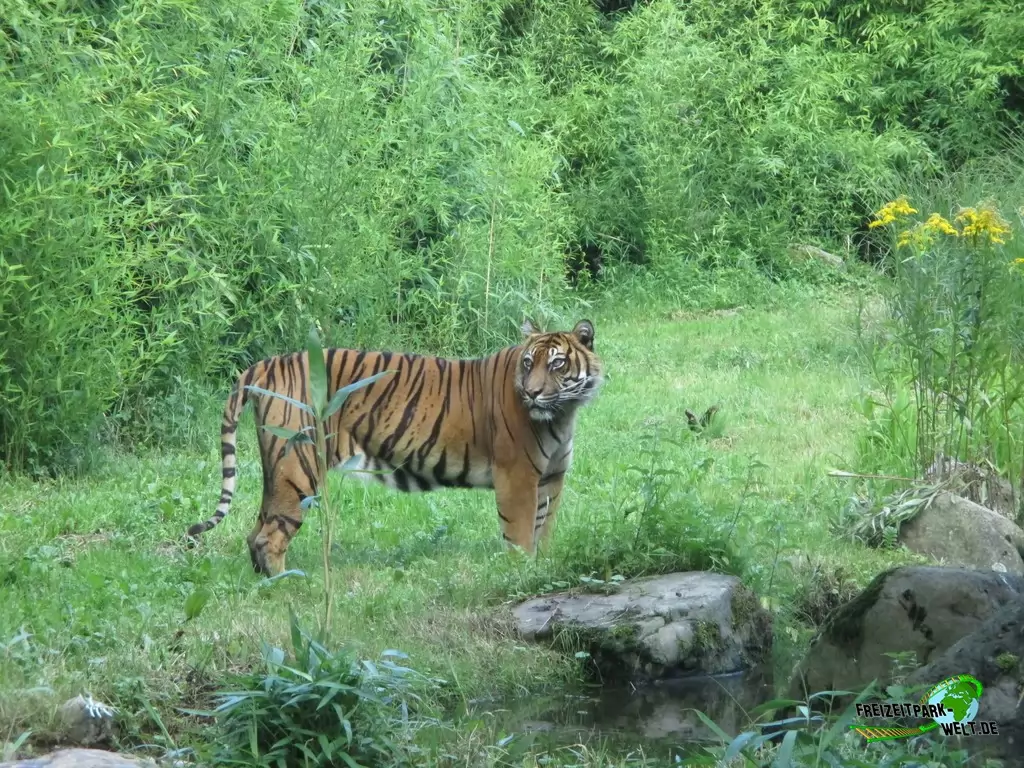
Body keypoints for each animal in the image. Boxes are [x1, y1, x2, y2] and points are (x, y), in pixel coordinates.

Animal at [185, 319, 603, 576]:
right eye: (529, 363)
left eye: (556, 364)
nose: (531, 393)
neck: (563, 414)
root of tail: (265, 364)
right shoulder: (518, 477)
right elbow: (520, 536)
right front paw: (520, 573)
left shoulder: (551, 478)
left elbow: (544, 529)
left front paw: (542, 569)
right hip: (298, 469)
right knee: (269, 537)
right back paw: (287, 586)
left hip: (278, 470)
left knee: (256, 529)